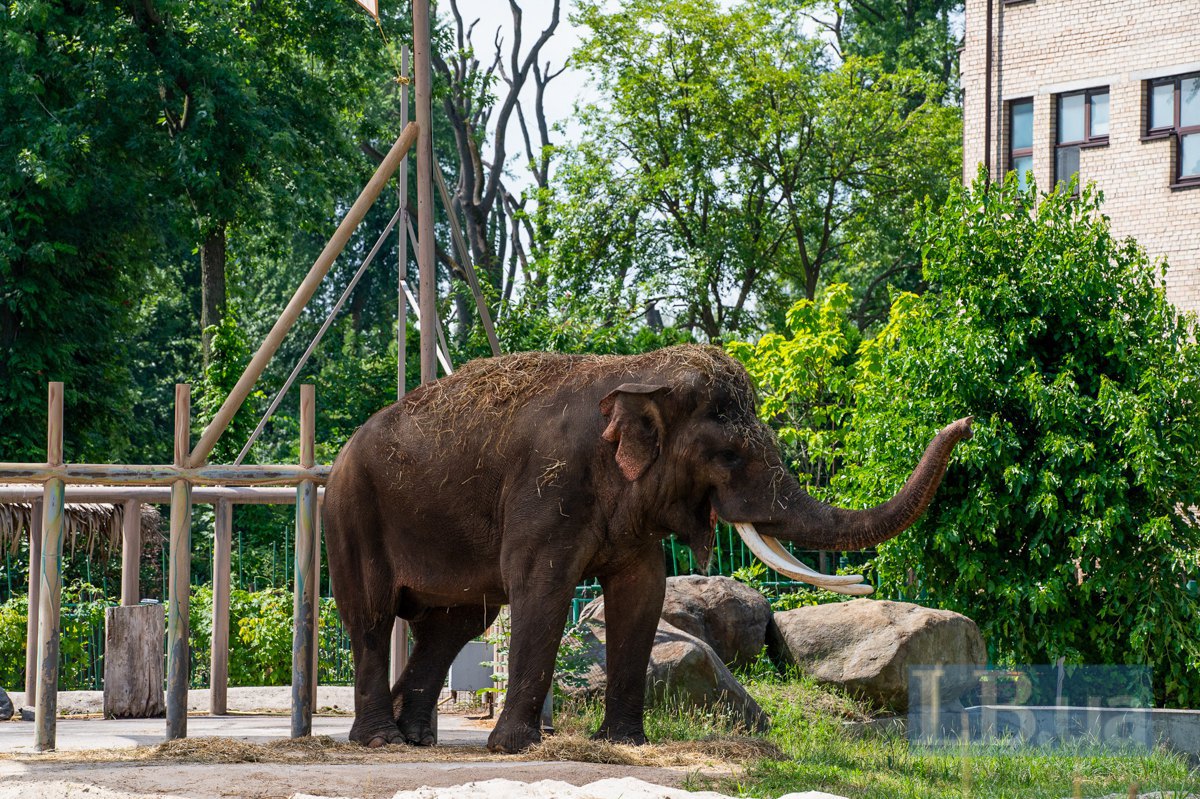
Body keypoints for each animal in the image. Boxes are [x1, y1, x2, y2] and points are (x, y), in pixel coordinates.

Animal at [323, 344, 972, 753]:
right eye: (730, 456)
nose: (964, 423)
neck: (637, 374)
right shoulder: (546, 493)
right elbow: (542, 591)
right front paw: (511, 749)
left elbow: (642, 594)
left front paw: (627, 742)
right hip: (352, 515)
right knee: (374, 617)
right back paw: (380, 739)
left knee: (452, 624)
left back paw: (413, 737)